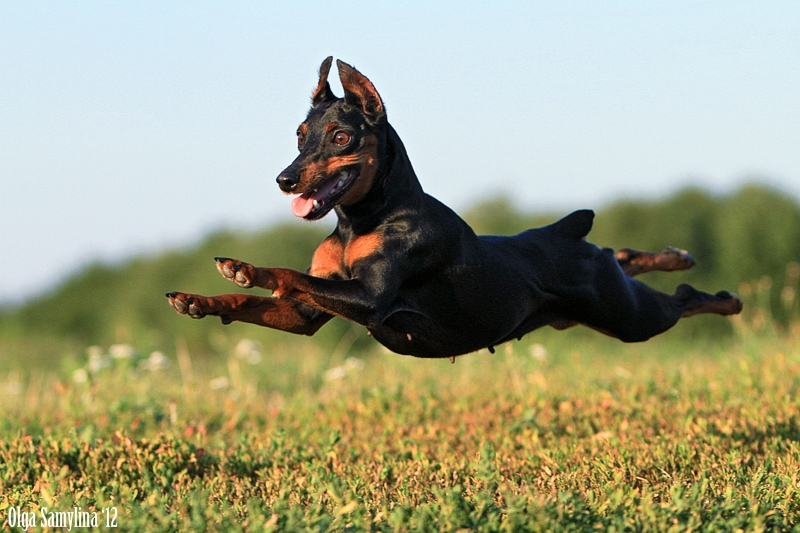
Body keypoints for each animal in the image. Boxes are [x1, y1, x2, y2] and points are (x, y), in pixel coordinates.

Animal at [166, 57, 748, 358]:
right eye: (299, 135)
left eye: (340, 136)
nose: (285, 180)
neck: (360, 222)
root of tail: (565, 233)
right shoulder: (309, 314)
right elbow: (265, 299)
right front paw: (199, 299)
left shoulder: (370, 298)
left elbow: (287, 275)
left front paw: (246, 267)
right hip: (608, 288)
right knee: (621, 253)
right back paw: (673, 254)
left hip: (630, 318)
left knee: (686, 297)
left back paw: (724, 297)